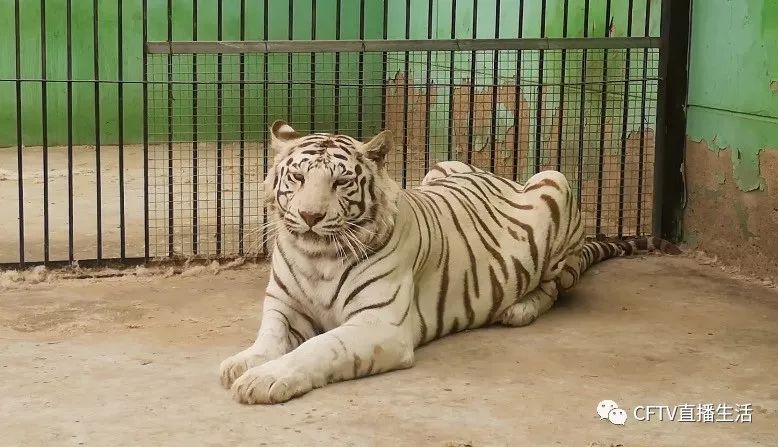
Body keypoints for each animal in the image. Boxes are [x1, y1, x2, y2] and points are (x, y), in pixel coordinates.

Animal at [217, 121, 672, 404]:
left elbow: (320, 347)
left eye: (341, 181)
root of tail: (497, 175)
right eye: (297, 178)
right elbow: (269, 338)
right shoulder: (284, 307)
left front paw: (265, 379)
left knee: (555, 289)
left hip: (555, 183)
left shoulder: (379, 325)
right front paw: (240, 363)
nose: (310, 216)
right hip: (444, 165)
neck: (317, 257)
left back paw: (519, 309)